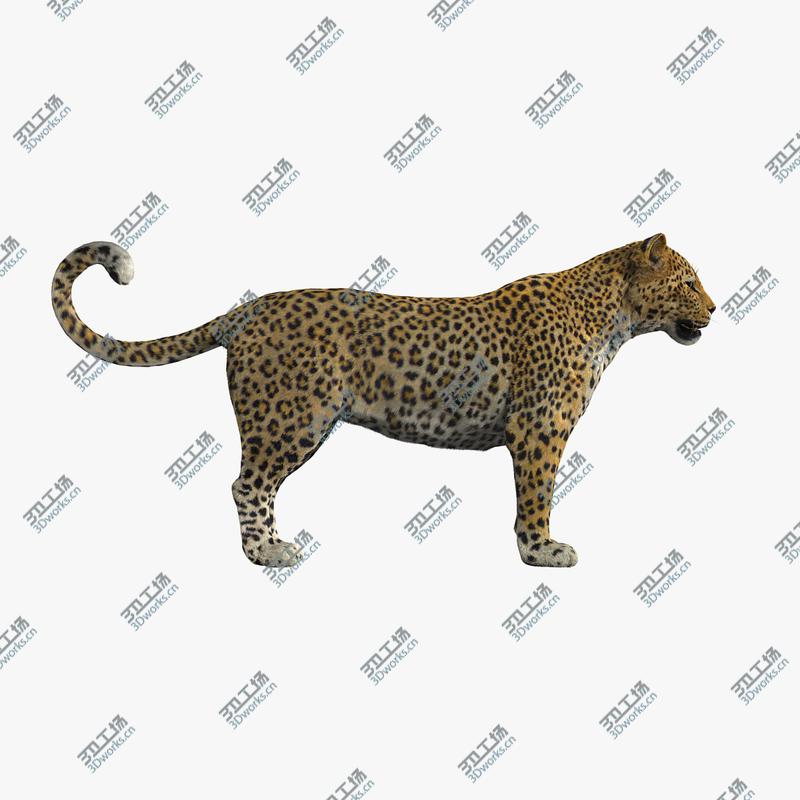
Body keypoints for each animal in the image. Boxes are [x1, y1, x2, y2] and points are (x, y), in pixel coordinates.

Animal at [51, 232, 715, 569]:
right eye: (687, 282)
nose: (714, 308)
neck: (614, 320)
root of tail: (248, 309)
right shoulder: (538, 429)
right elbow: (538, 494)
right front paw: (541, 551)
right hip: (292, 418)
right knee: (247, 484)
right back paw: (267, 552)